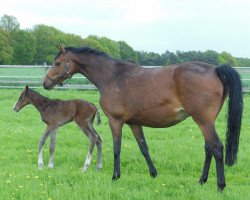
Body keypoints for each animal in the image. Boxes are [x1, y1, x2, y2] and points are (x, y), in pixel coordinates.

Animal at [42, 45, 242, 191]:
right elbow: (143, 148)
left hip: (204, 121)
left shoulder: (115, 121)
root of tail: (215, 69)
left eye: (58, 63)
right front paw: (153, 174)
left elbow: (117, 148)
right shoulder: (134, 123)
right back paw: (202, 180)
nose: (46, 83)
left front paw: (115, 176)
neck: (112, 76)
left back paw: (220, 186)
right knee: (208, 148)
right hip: (206, 122)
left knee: (217, 148)